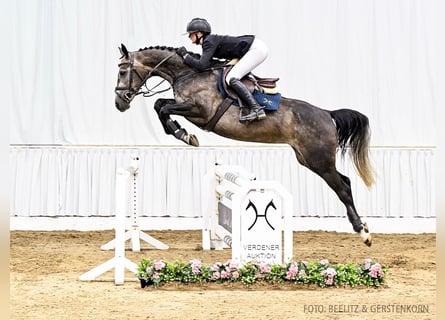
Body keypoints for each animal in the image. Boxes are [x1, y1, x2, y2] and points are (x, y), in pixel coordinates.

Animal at [114, 43, 374, 246]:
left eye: (123, 71)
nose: (119, 104)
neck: (187, 74)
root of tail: (327, 114)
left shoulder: (199, 111)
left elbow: (163, 107)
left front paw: (184, 134)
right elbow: (160, 105)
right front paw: (183, 134)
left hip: (319, 160)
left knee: (342, 188)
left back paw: (363, 232)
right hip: (308, 159)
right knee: (345, 182)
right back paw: (362, 228)